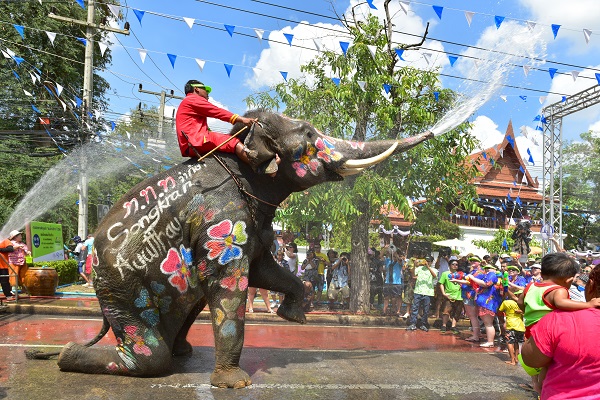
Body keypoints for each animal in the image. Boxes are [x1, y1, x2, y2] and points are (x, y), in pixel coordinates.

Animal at [51, 109, 432, 388]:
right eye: (309, 133)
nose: (431, 135)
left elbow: (265, 270)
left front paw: (294, 316)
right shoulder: (220, 220)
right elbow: (229, 281)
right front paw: (236, 384)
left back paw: (181, 352)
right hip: (121, 284)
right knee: (150, 355)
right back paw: (66, 354)